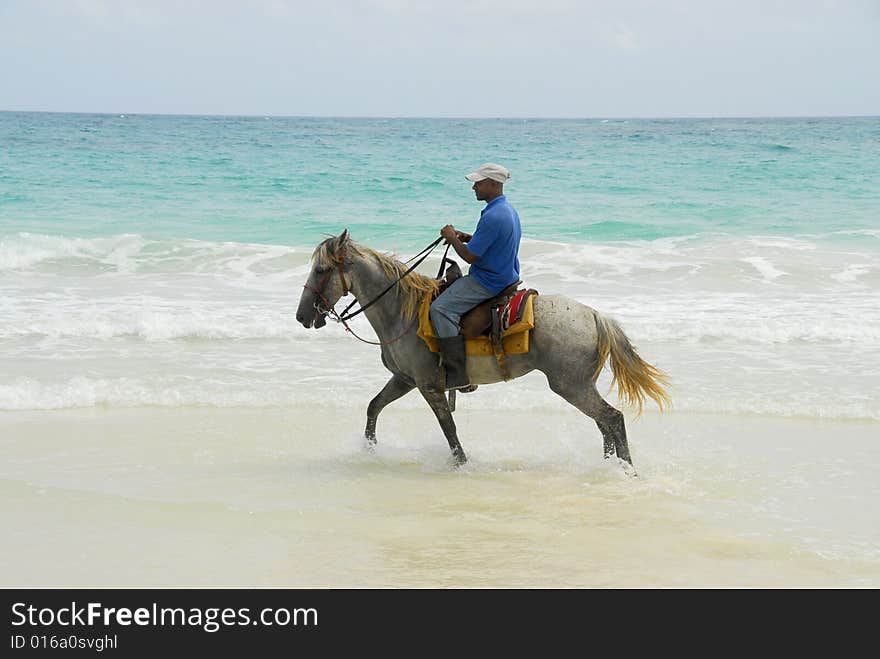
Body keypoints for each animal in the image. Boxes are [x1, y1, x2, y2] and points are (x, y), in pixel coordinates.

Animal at [296, 232, 668, 470]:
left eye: (321, 270)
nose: (302, 316)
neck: (402, 310)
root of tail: (593, 315)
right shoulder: (404, 380)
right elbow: (374, 407)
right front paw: (369, 451)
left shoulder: (429, 386)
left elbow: (449, 430)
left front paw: (462, 465)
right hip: (578, 386)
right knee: (604, 425)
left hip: (570, 385)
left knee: (612, 419)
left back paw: (625, 470)